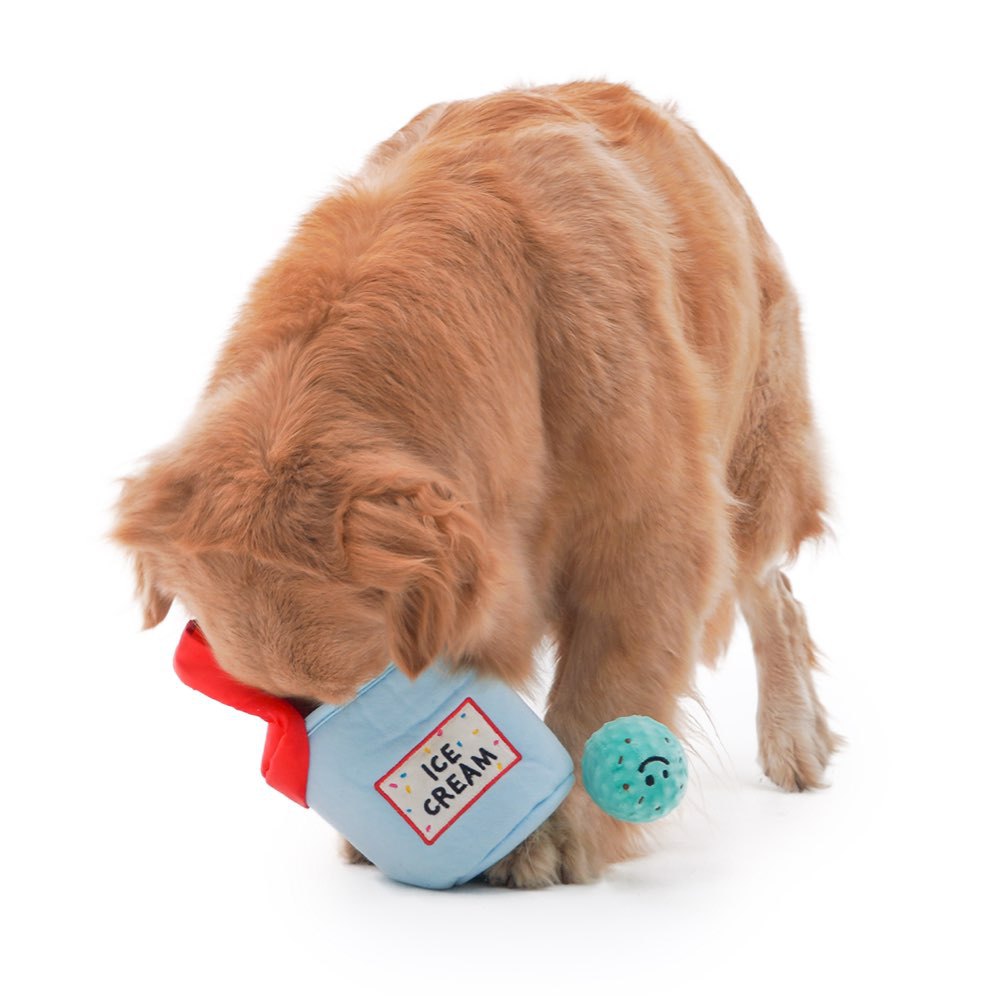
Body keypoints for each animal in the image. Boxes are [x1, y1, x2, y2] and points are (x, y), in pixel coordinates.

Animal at [113, 80, 836, 888]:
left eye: (349, 691)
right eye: (283, 702)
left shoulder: (647, 538)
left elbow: (601, 689)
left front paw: (557, 834)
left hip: (753, 462)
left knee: (772, 591)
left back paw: (794, 736)